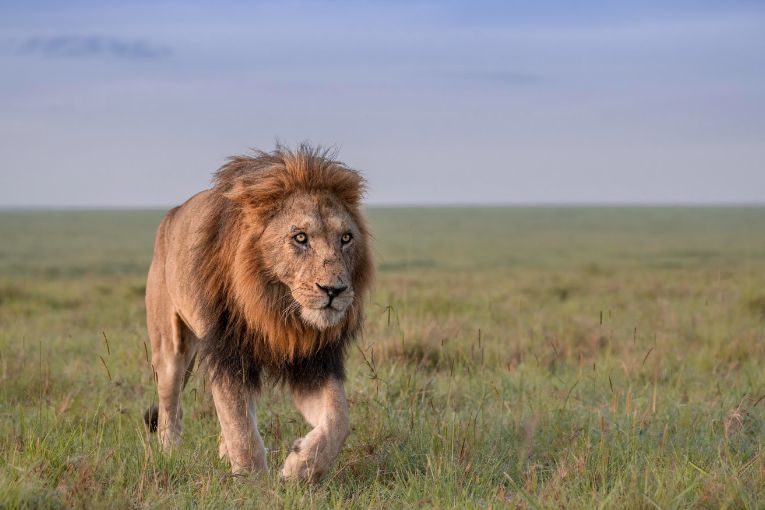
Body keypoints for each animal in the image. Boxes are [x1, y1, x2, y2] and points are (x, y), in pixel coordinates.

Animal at [143, 144, 374, 482]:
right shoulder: (229, 354)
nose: (334, 290)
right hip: (170, 346)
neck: (276, 309)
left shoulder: (312, 363)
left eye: (346, 238)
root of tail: (171, 215)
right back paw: (171, 452)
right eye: (300, 237)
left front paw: (300, 467)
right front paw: (253, 482)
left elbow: (339, 420)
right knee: (169, 405)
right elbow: (240, 427)